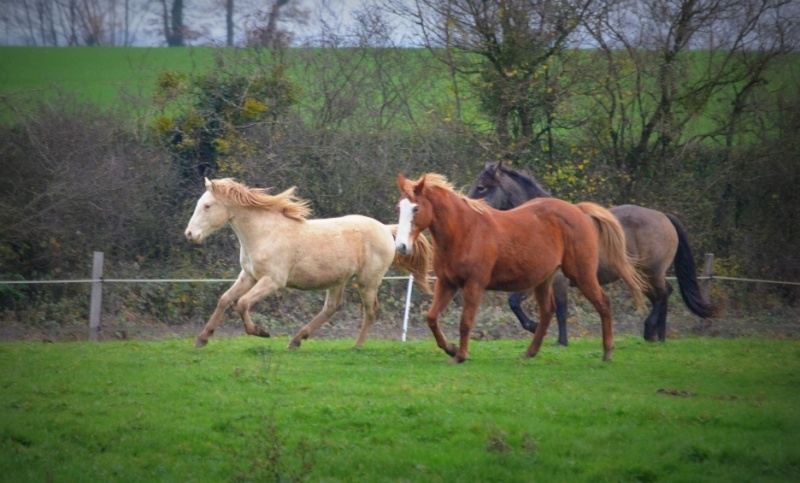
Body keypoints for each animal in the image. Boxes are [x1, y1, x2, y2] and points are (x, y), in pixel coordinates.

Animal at [185, 177, 434, 348]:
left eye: (207, 206)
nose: (189, 234)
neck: (264, 233)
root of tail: (385, 228)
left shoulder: (272, 281)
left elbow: (242, 303)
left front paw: (261, 332)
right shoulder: (248, 276)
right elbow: (225, 300)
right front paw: (202, 339)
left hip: (367, 281)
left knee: (371, 311)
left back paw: (356, 346)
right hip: (338, 280)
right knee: (332, 307)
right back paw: (296, 340)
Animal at [396, 173, 648, 364]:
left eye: (416, 209)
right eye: (400, 207)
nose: (401, 246)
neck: (463, 230)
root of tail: (578, 210)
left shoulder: (474, 285)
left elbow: (465, 322)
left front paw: (460, 356)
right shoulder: (447, 284)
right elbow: (431, 318)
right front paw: (450, 348)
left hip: (581, 274)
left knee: (603, 303)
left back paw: (607, 352)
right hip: (544, 280)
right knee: (547, 312)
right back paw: (530, 352)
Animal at [466, 163, 720, 344]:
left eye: (482, 187)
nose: (468, 208)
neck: (541, 222)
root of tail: (663, 216)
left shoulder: (557, 280)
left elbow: (559, 309)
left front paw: (560, 341)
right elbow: (516, 304)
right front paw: (538, 328)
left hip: (652, 271)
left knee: (664, 294)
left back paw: (650, 331)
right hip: (640, 275)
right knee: (661, 296)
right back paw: (659, 337)